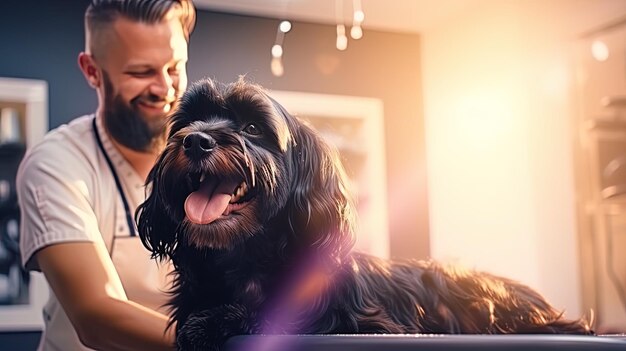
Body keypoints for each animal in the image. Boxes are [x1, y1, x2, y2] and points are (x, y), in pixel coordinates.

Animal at [136, 78, 588, 350]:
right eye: (189, 120)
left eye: (251, 128)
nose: (195, 140)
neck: (244, 259)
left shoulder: (359, 321)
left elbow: (279, 315)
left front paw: (213, 322)